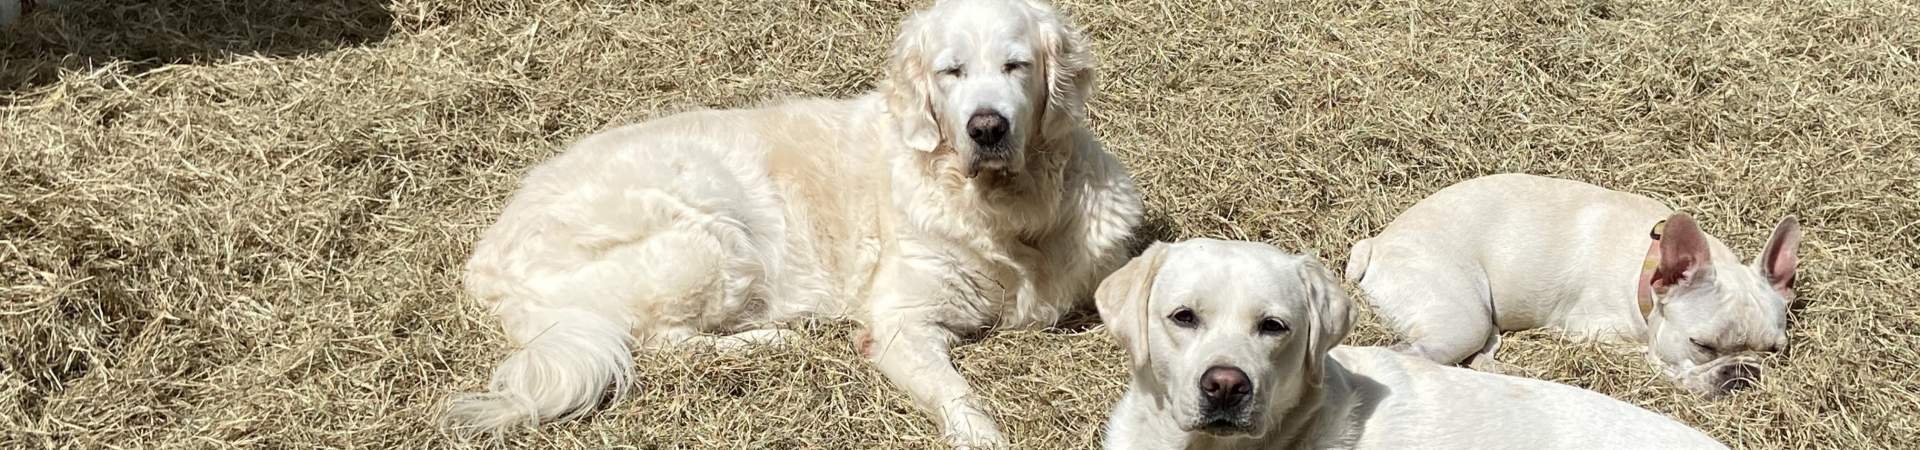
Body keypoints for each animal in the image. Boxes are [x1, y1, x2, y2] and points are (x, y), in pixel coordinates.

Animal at [445, 0, 1136, 446]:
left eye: (1017, 66)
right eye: (952, 71)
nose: (986, 127)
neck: (1007, 211)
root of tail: (486, 265)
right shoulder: (900, 322)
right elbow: (956, 392)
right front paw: (981, 433)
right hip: (710, 236)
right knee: (660, 341)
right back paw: (770, 339)